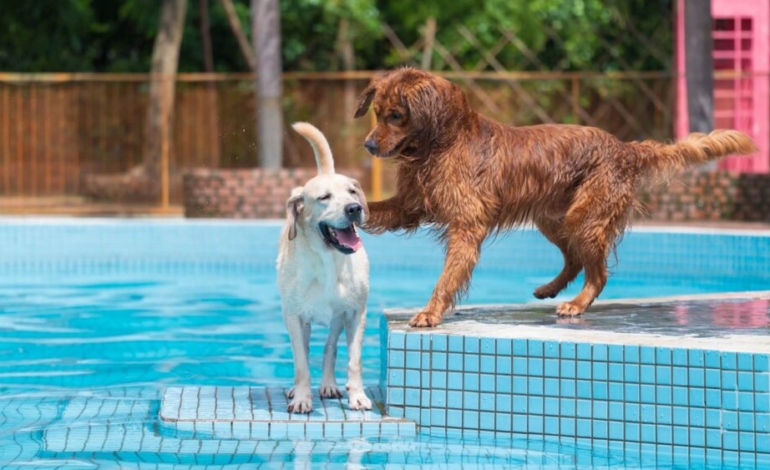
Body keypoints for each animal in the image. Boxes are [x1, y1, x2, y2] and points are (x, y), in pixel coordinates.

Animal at [276, 123, 372, 414]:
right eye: (324, 198)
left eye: (352, 192)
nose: (355, 208)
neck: (329, 261)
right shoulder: (296, 318)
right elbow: (301, 364)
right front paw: (302, 398)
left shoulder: (355, 313)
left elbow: (354, 360)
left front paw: (358, 396)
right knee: (305, 352)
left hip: (338, 318)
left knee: (330, 347)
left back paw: (329, 384)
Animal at [354, 68, 756, 328]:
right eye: (376, 113)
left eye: (396, 115)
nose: (368, 145)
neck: (441, 144)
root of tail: (625, 148)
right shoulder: (409, 206)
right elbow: (378, 210)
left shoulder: (466, 225)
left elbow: (447, 277)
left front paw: (430, 312)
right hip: (553, 218)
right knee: (575, 259)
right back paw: (549, 288)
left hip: (585, 215)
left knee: (598, 272)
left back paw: (576, 304)